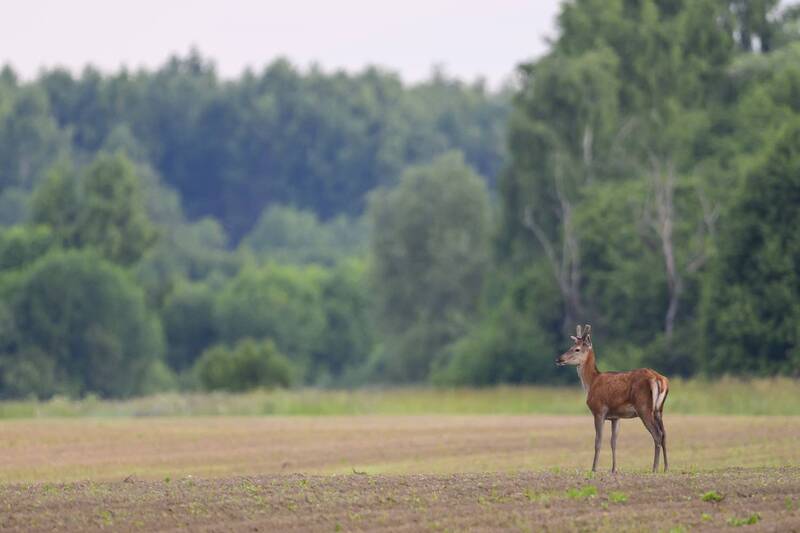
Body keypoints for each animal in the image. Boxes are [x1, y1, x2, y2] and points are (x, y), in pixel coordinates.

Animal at [556, 324, 669, 473]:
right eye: (571, 346)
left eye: (577, 349)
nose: (559, 359)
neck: (591, 382)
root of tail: (658, 379)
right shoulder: (616, 417)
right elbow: (613, 442)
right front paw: (614, 468)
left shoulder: (599, 410)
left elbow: (598, 441)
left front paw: (594, 468)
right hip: (659, 409)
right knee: (664, 433)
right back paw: (666, 467)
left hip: (644, 407)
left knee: (657, 434)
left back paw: (654, 468)